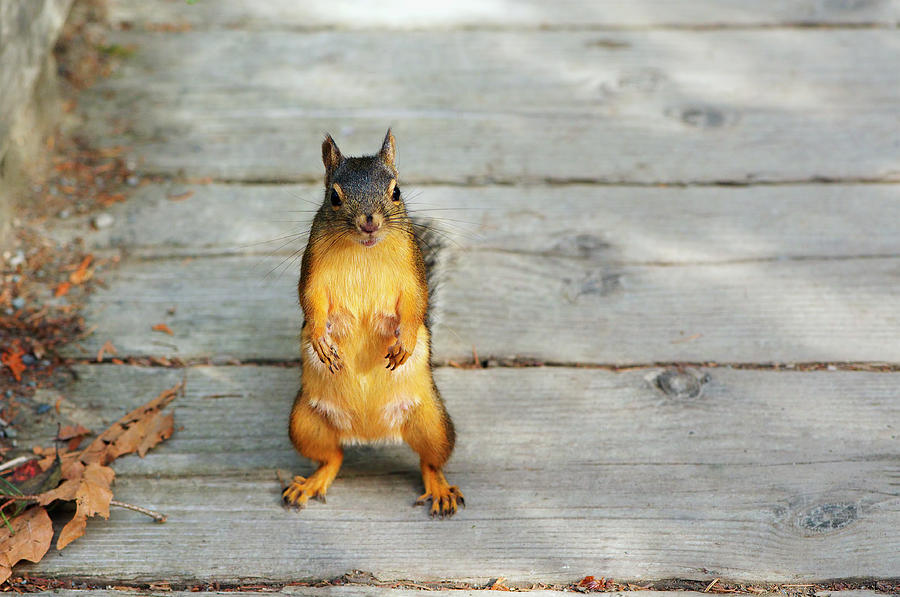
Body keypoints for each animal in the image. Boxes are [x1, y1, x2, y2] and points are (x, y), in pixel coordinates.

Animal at [282, 129, 464, 516]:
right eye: (334, 197)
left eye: (396, 192)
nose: (369, 221)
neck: (364, 250)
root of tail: (369, 433)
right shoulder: (313, 270)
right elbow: (312, 302)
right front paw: (320, 340)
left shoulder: (413, 271)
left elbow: (415, 303)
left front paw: (405, 341)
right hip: (304, 424)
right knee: (332, 457)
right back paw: (312, 482)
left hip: (434, 424)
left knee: (430, 461)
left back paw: (440, 488)